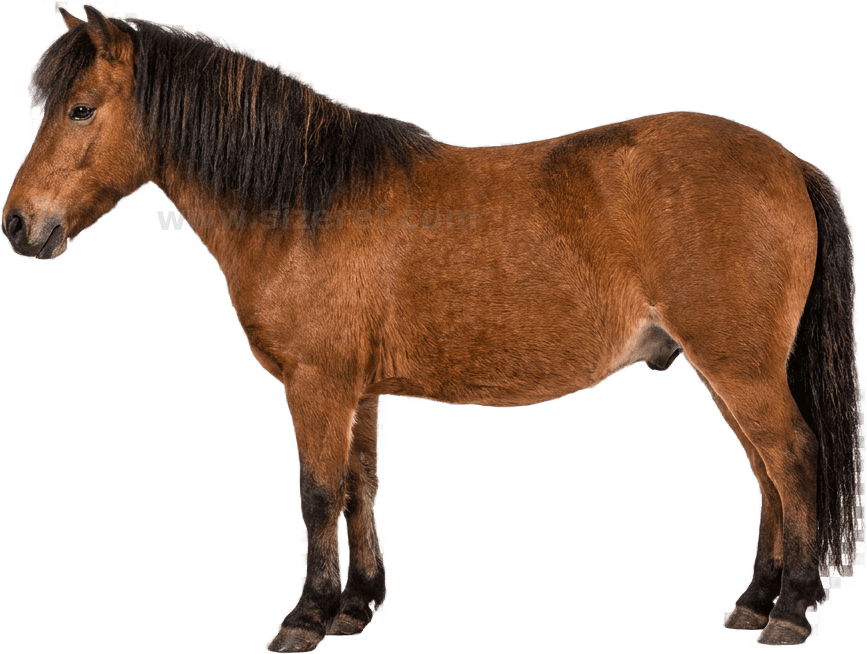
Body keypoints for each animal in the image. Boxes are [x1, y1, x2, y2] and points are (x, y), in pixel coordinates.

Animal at [3, 6, 861, 651]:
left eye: (81, 109)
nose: (19, 225)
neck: (306, 200)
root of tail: (789, 164)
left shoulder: (316, 385)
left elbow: (317, 492)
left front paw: (305, 618)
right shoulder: (356, 391)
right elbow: (358, 487)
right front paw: (355, 607)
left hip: (738, 367)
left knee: (791, 459)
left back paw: (788, 611)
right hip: (730, 368)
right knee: (768, 473)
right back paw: (755, 601)